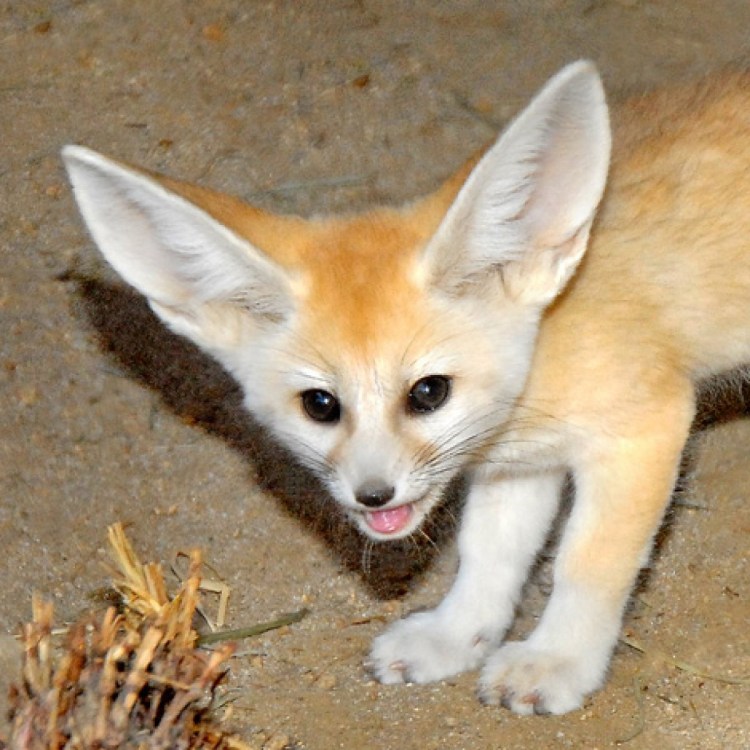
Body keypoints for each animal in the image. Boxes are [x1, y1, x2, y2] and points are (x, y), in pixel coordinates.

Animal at [61, 60, 750, 714]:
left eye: (428, 393)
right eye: (320, 405)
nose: (373, 496)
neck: (546, 336)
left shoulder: (645, 430)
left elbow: (586, 564)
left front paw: (557, 661)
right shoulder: (517, 464)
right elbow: (490, 555)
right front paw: (456, 636)